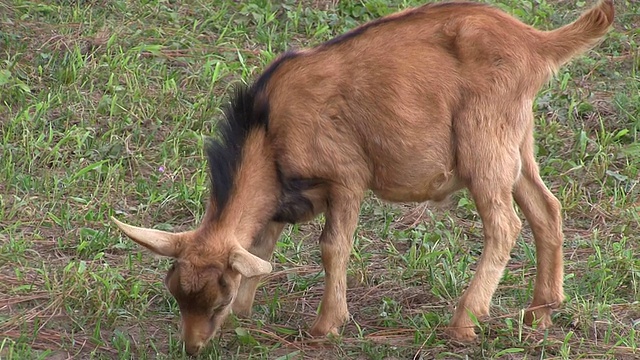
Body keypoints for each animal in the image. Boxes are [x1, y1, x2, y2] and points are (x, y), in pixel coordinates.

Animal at [111, 0, 616, 354]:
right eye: (176, 294)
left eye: (215, 299)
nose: (193, 347)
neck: (267, 129)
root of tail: (534, 42)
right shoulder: (280, 198)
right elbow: (262, 246)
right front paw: (244, 315)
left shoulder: (347, 179)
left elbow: (333, 247)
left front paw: (326, 325)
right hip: (516, 143)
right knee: (546, 209)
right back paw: (541, 312)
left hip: (483, 145)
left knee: (504, 225)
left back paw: (464, 323)